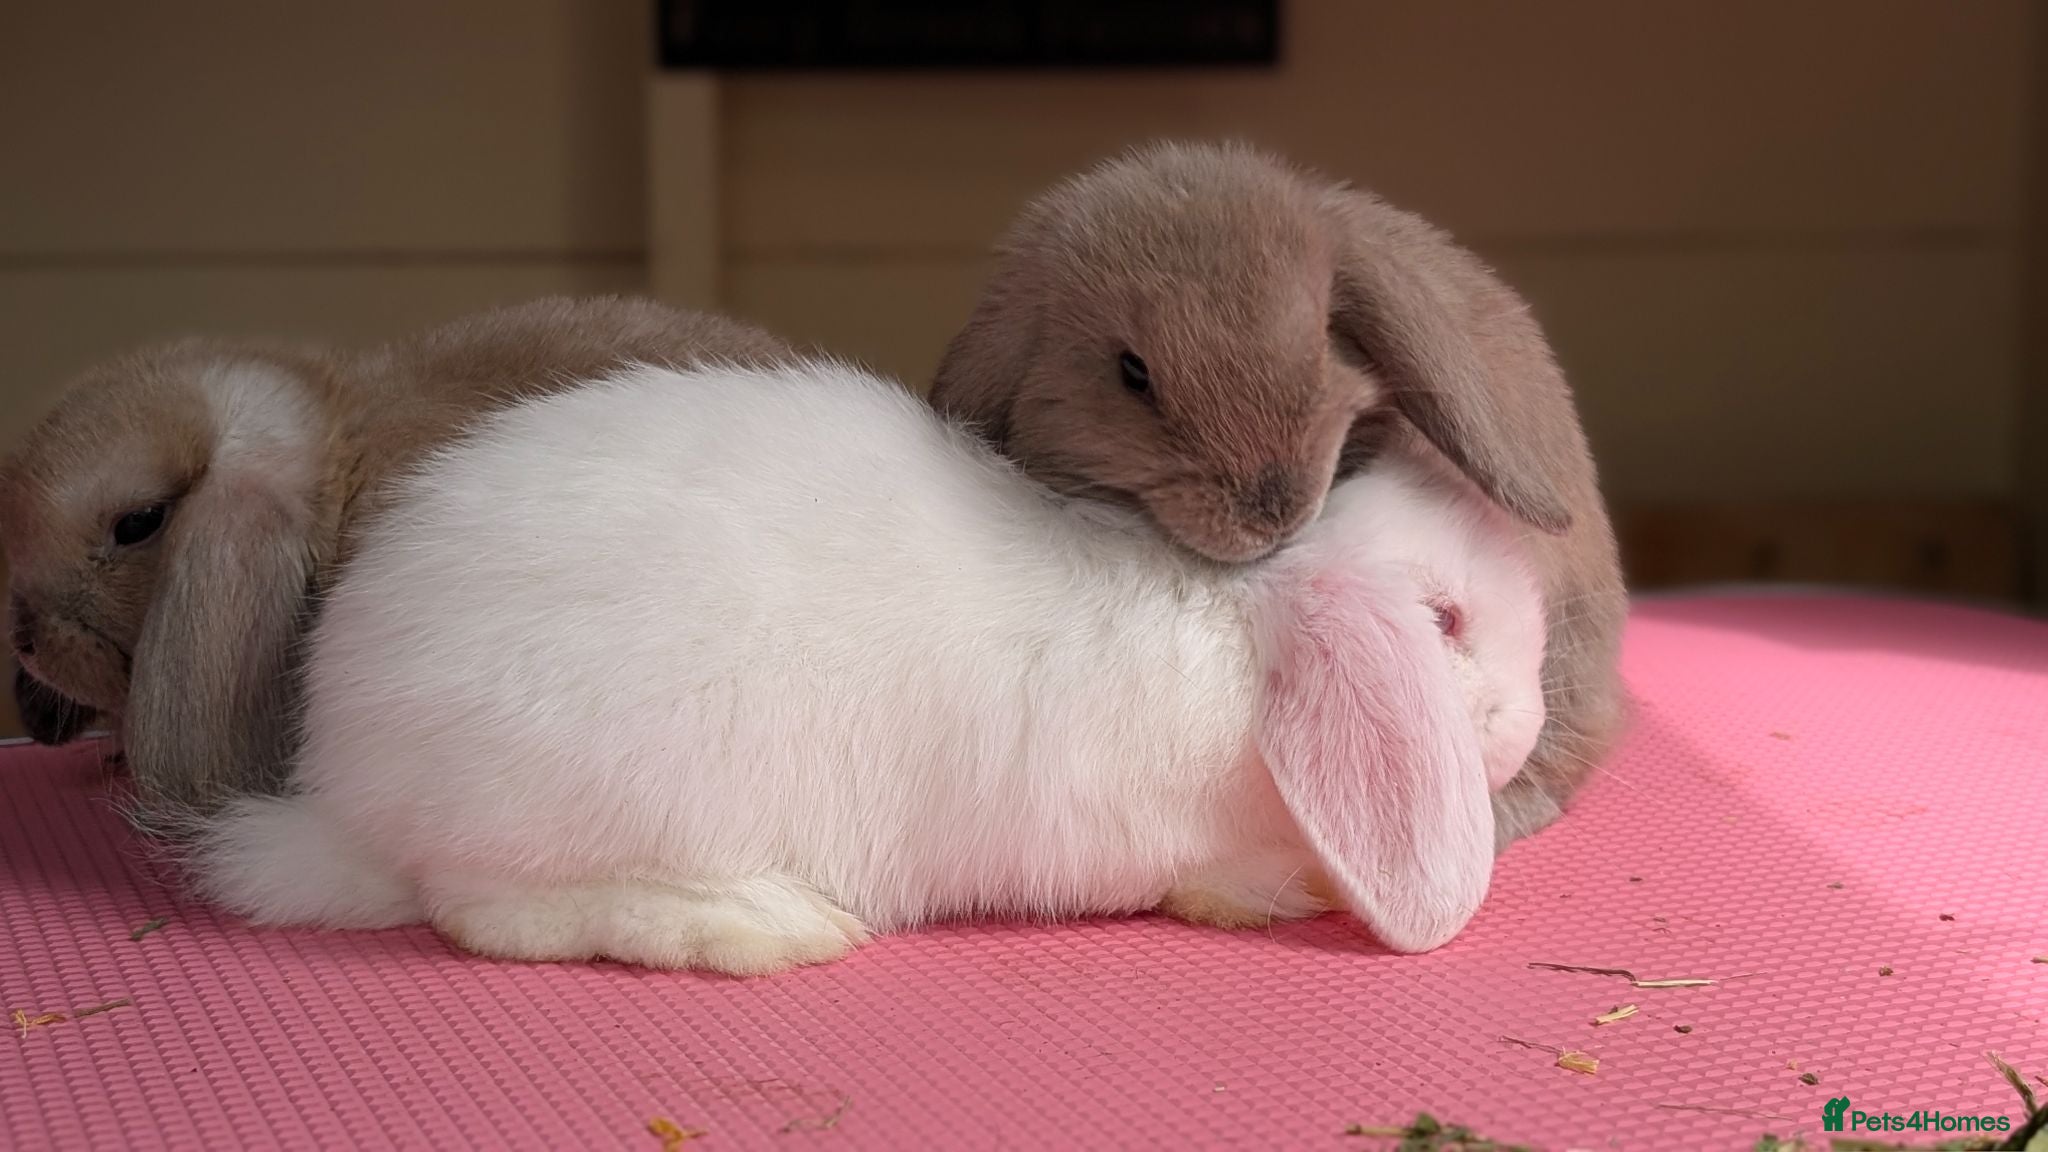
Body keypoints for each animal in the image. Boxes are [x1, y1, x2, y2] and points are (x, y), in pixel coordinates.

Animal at [187, 357, 1547, 974]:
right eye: (1443, 622)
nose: (1528, 728)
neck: (1243, 627)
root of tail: (344, 793)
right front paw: (1277, 892)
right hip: (612, 790)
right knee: (488, 910)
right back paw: (763, 925)